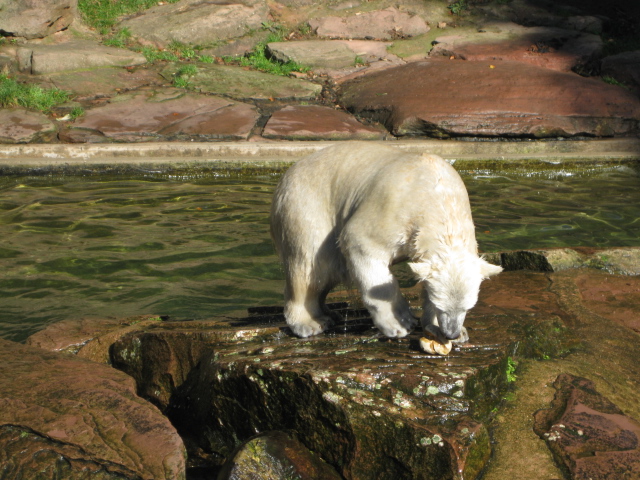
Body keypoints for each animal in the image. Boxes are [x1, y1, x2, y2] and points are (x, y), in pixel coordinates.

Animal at [268, 142, 502, 342]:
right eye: (441, 305)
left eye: (468, 307)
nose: (451, 333)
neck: (440, 197)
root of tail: (286, 176)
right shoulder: (394, 208)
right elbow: (361, 244)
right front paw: (401, 322)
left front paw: (448, 330)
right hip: (306, 205)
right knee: (312, 263)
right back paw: (308, 323)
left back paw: (329, 314)